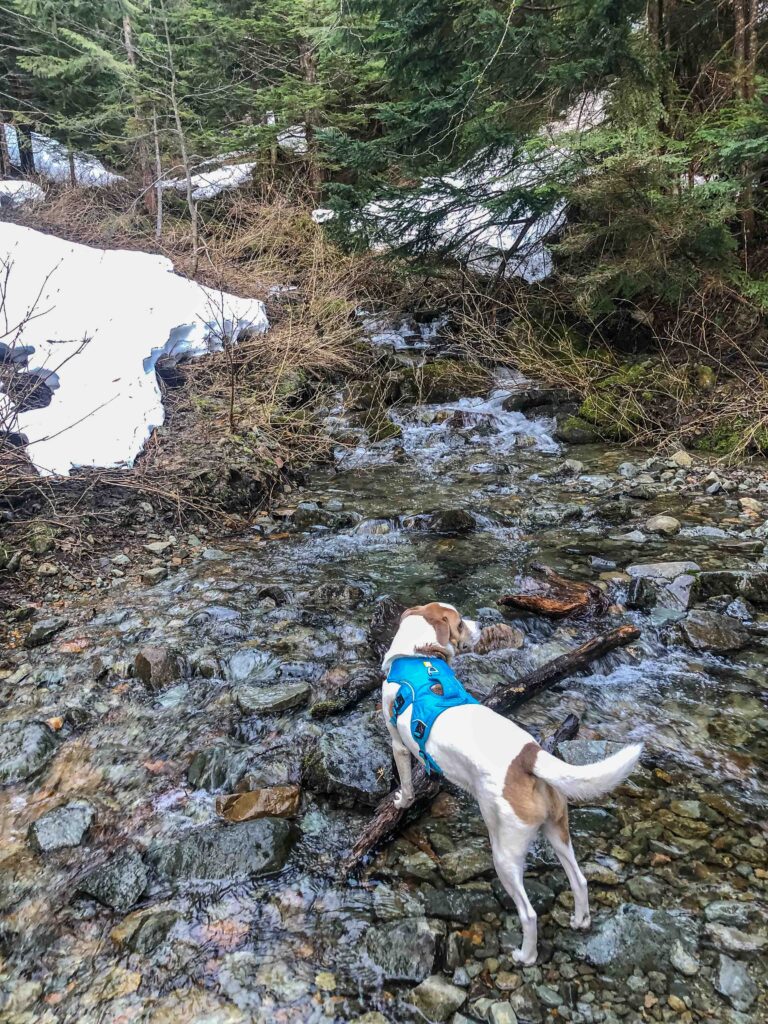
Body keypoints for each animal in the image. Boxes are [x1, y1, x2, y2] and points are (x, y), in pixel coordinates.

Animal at [382, 598, 643, 962]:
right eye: (460, 624)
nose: (479, 625)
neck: (419, 654)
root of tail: (530, 757)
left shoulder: (397, 743)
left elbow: (405, 781)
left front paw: (402, 801)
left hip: (505, 854)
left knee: (528, 913)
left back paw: (525, 956)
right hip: (557, 830)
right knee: (579, 880)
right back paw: (580, 920)